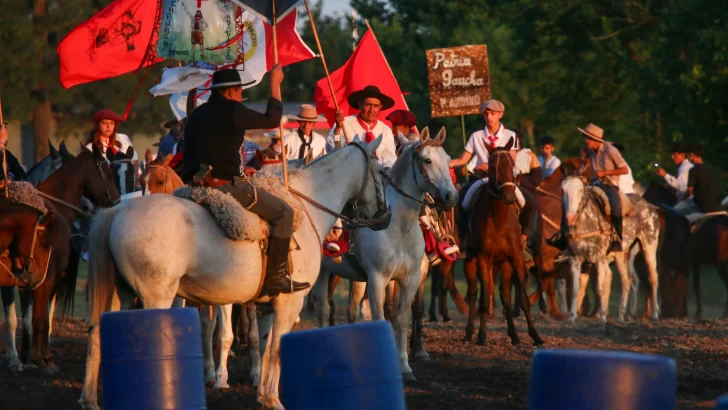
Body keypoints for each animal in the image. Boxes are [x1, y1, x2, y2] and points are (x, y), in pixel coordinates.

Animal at [78, 139, 392, 410]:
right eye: (381, 172)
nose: (385, 217)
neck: (307, 206)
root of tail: (116, 213)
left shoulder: (264, 306)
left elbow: (263, 343)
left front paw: (261, 391)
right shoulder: (290, 302)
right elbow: (275, 346)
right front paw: (271, 399)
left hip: (119, 295)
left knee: (96, 339)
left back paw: (90, 400)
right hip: (156, 299)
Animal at [312, 128, 456, 382]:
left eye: (448, 159)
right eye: (427, 160)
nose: (451, 196)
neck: (399, 227)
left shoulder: (410, 279)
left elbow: (401, 317)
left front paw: (405, 366)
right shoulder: (378, 279)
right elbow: (381, 317)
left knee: (340, 310)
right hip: (322, 271)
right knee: (323, 308)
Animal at [464, 141, 544, 346]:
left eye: (512, 165)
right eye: (493, 167)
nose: (508, 196)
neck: (499, 220)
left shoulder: (515, 258)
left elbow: (523, 299)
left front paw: (535, 335)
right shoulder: (484, 259)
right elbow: (484, 300)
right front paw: (481, 336)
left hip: (505, 264)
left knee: (505, 294)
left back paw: (514, 335)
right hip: (471, 261)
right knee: (474, 292)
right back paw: (468, 333)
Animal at [564, 176, 660, 324]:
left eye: (580, 190)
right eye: (563, 190)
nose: (570, 217)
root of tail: (650, 207)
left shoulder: (599, 259)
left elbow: (600, 287)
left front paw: (602, 318)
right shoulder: (575, 260)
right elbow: (575, 289)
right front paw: (571, 317)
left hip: (649, 247)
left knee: (653, 279)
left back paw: (654, 315)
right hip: (625, 256)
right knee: (628, 280)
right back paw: (623, 315)